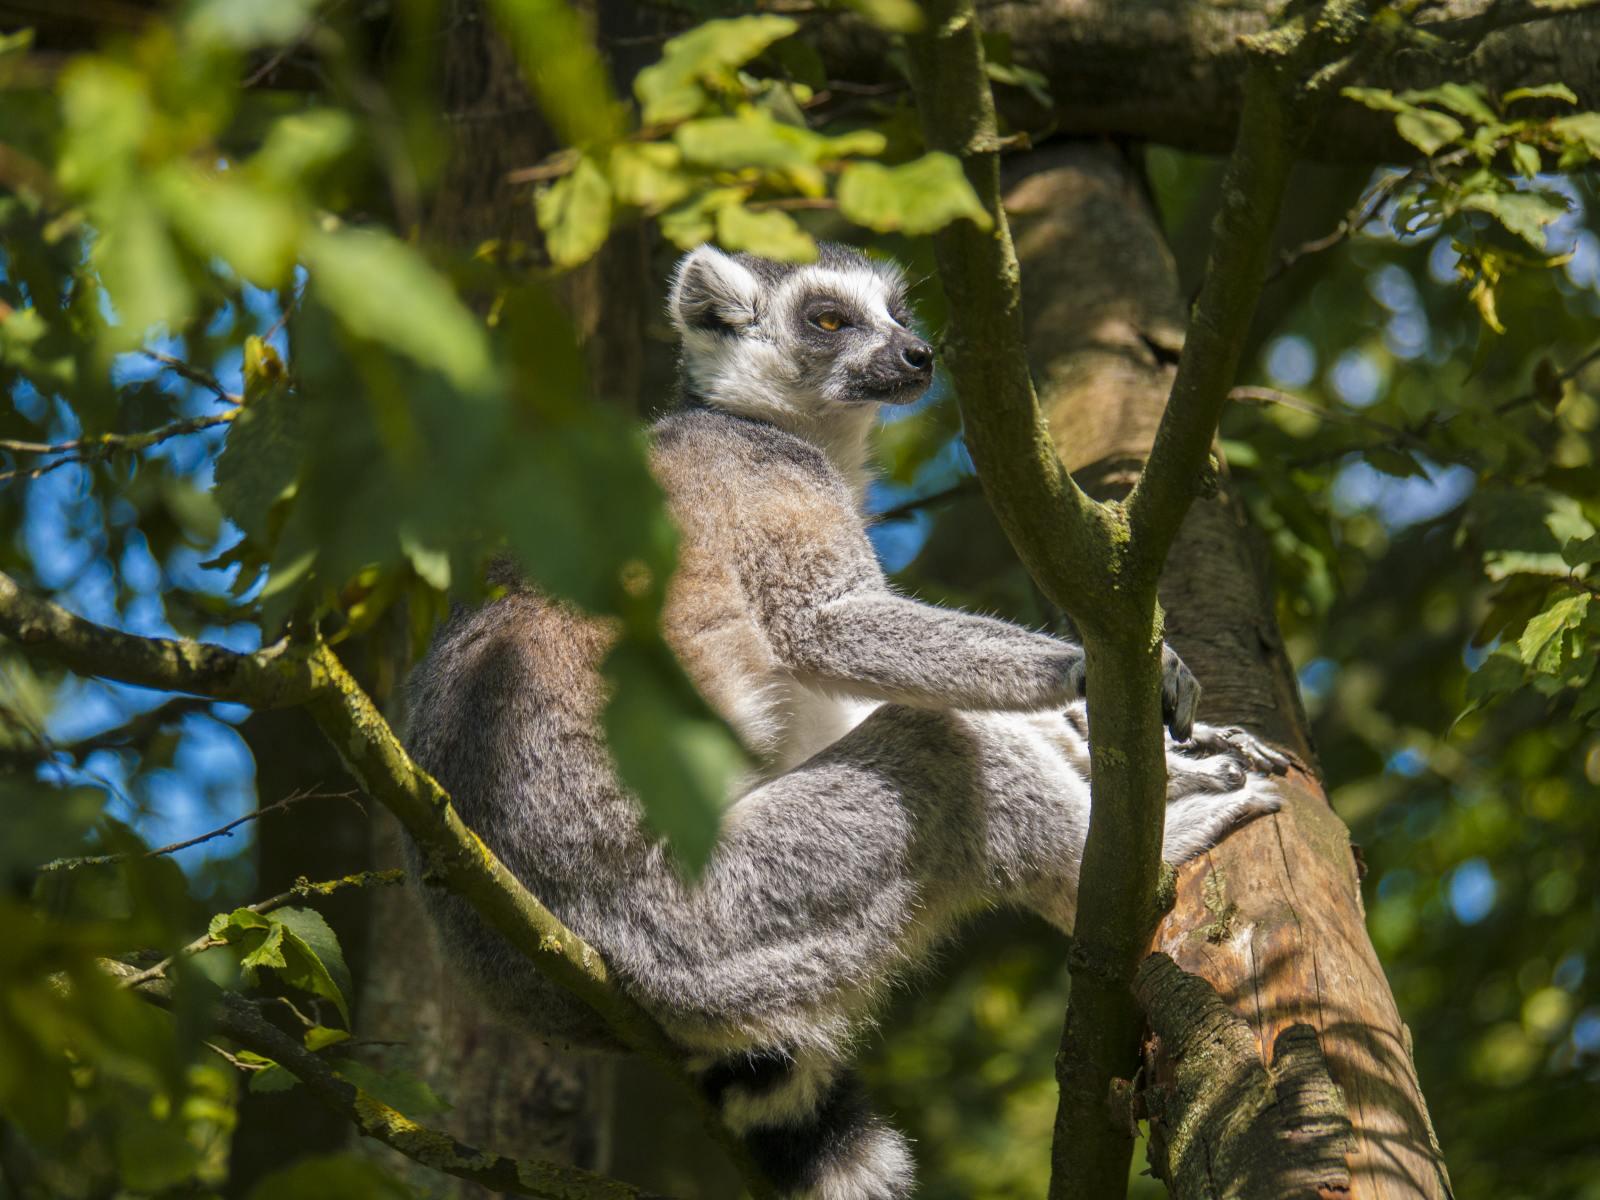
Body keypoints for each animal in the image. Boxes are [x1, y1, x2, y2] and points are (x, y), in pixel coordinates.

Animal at [402, 243, 1287, 1199]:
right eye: (829, 320)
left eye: (899, 313)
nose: (919, 356)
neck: (777, 426)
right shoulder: (766, 486)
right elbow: (825, 627)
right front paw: (1085, 670)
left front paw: (1159, 738)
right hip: (714, 917)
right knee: (940, 754)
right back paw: (1137, 852)